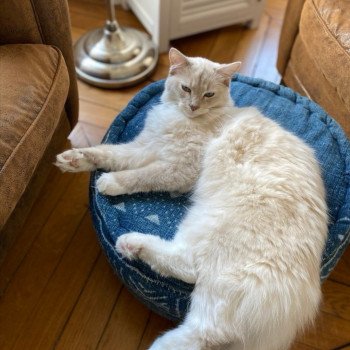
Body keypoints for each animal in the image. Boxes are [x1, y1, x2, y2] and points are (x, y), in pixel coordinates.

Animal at [55, 49, 328, 350]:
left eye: (208, 95)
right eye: (186, 89)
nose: (194, 106)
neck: (181, 117)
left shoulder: (177, 167)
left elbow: (137, 176)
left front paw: (108, 183)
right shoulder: (146, 148)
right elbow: (107, 153)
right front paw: (72, 160)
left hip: (209, 232)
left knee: (196, 298)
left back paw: (130, 244)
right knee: (193, 291)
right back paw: (131, 247)